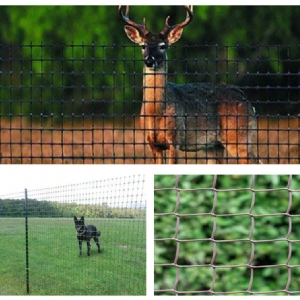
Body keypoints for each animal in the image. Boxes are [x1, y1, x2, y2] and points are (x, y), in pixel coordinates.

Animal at [118, 5, 258, 164]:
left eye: (163, 46)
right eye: (143, 45)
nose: (149, 61)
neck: (155, 112)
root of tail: (249, 102)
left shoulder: (175, 139)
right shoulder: (152, 143)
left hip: (240, 136)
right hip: (214, 146)